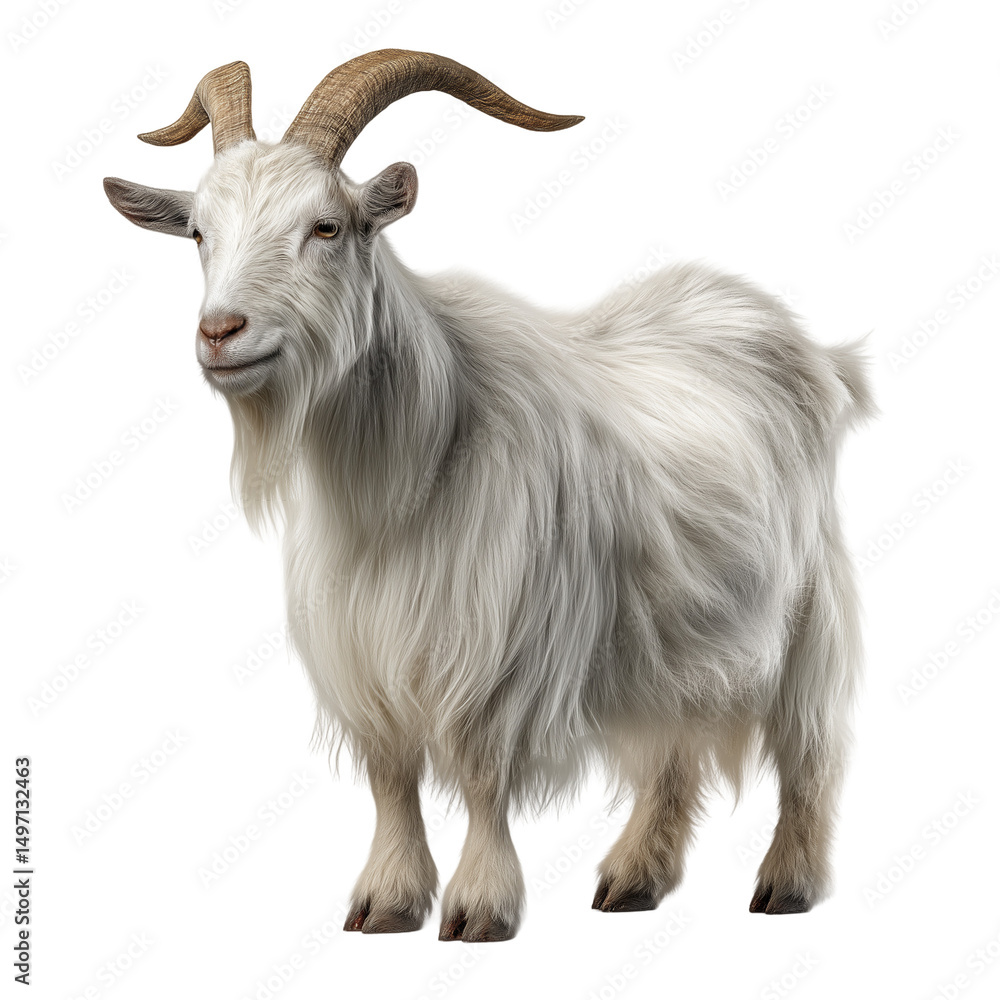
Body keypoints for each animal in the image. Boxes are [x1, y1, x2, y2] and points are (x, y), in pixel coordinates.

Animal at [104, 50, 874, 941]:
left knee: (809, 746)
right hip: (677, 629)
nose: (221, 332)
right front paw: (388, 899)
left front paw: (480, 906)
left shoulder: (502, 639)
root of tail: (811, 350)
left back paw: (787, 883)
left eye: (326, 227)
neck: (405, 475)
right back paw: (633, 877)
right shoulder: (363, 651)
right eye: (200, 232)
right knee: (673, 747)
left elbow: (480, 770)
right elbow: (391, 775)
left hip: (808, 604)